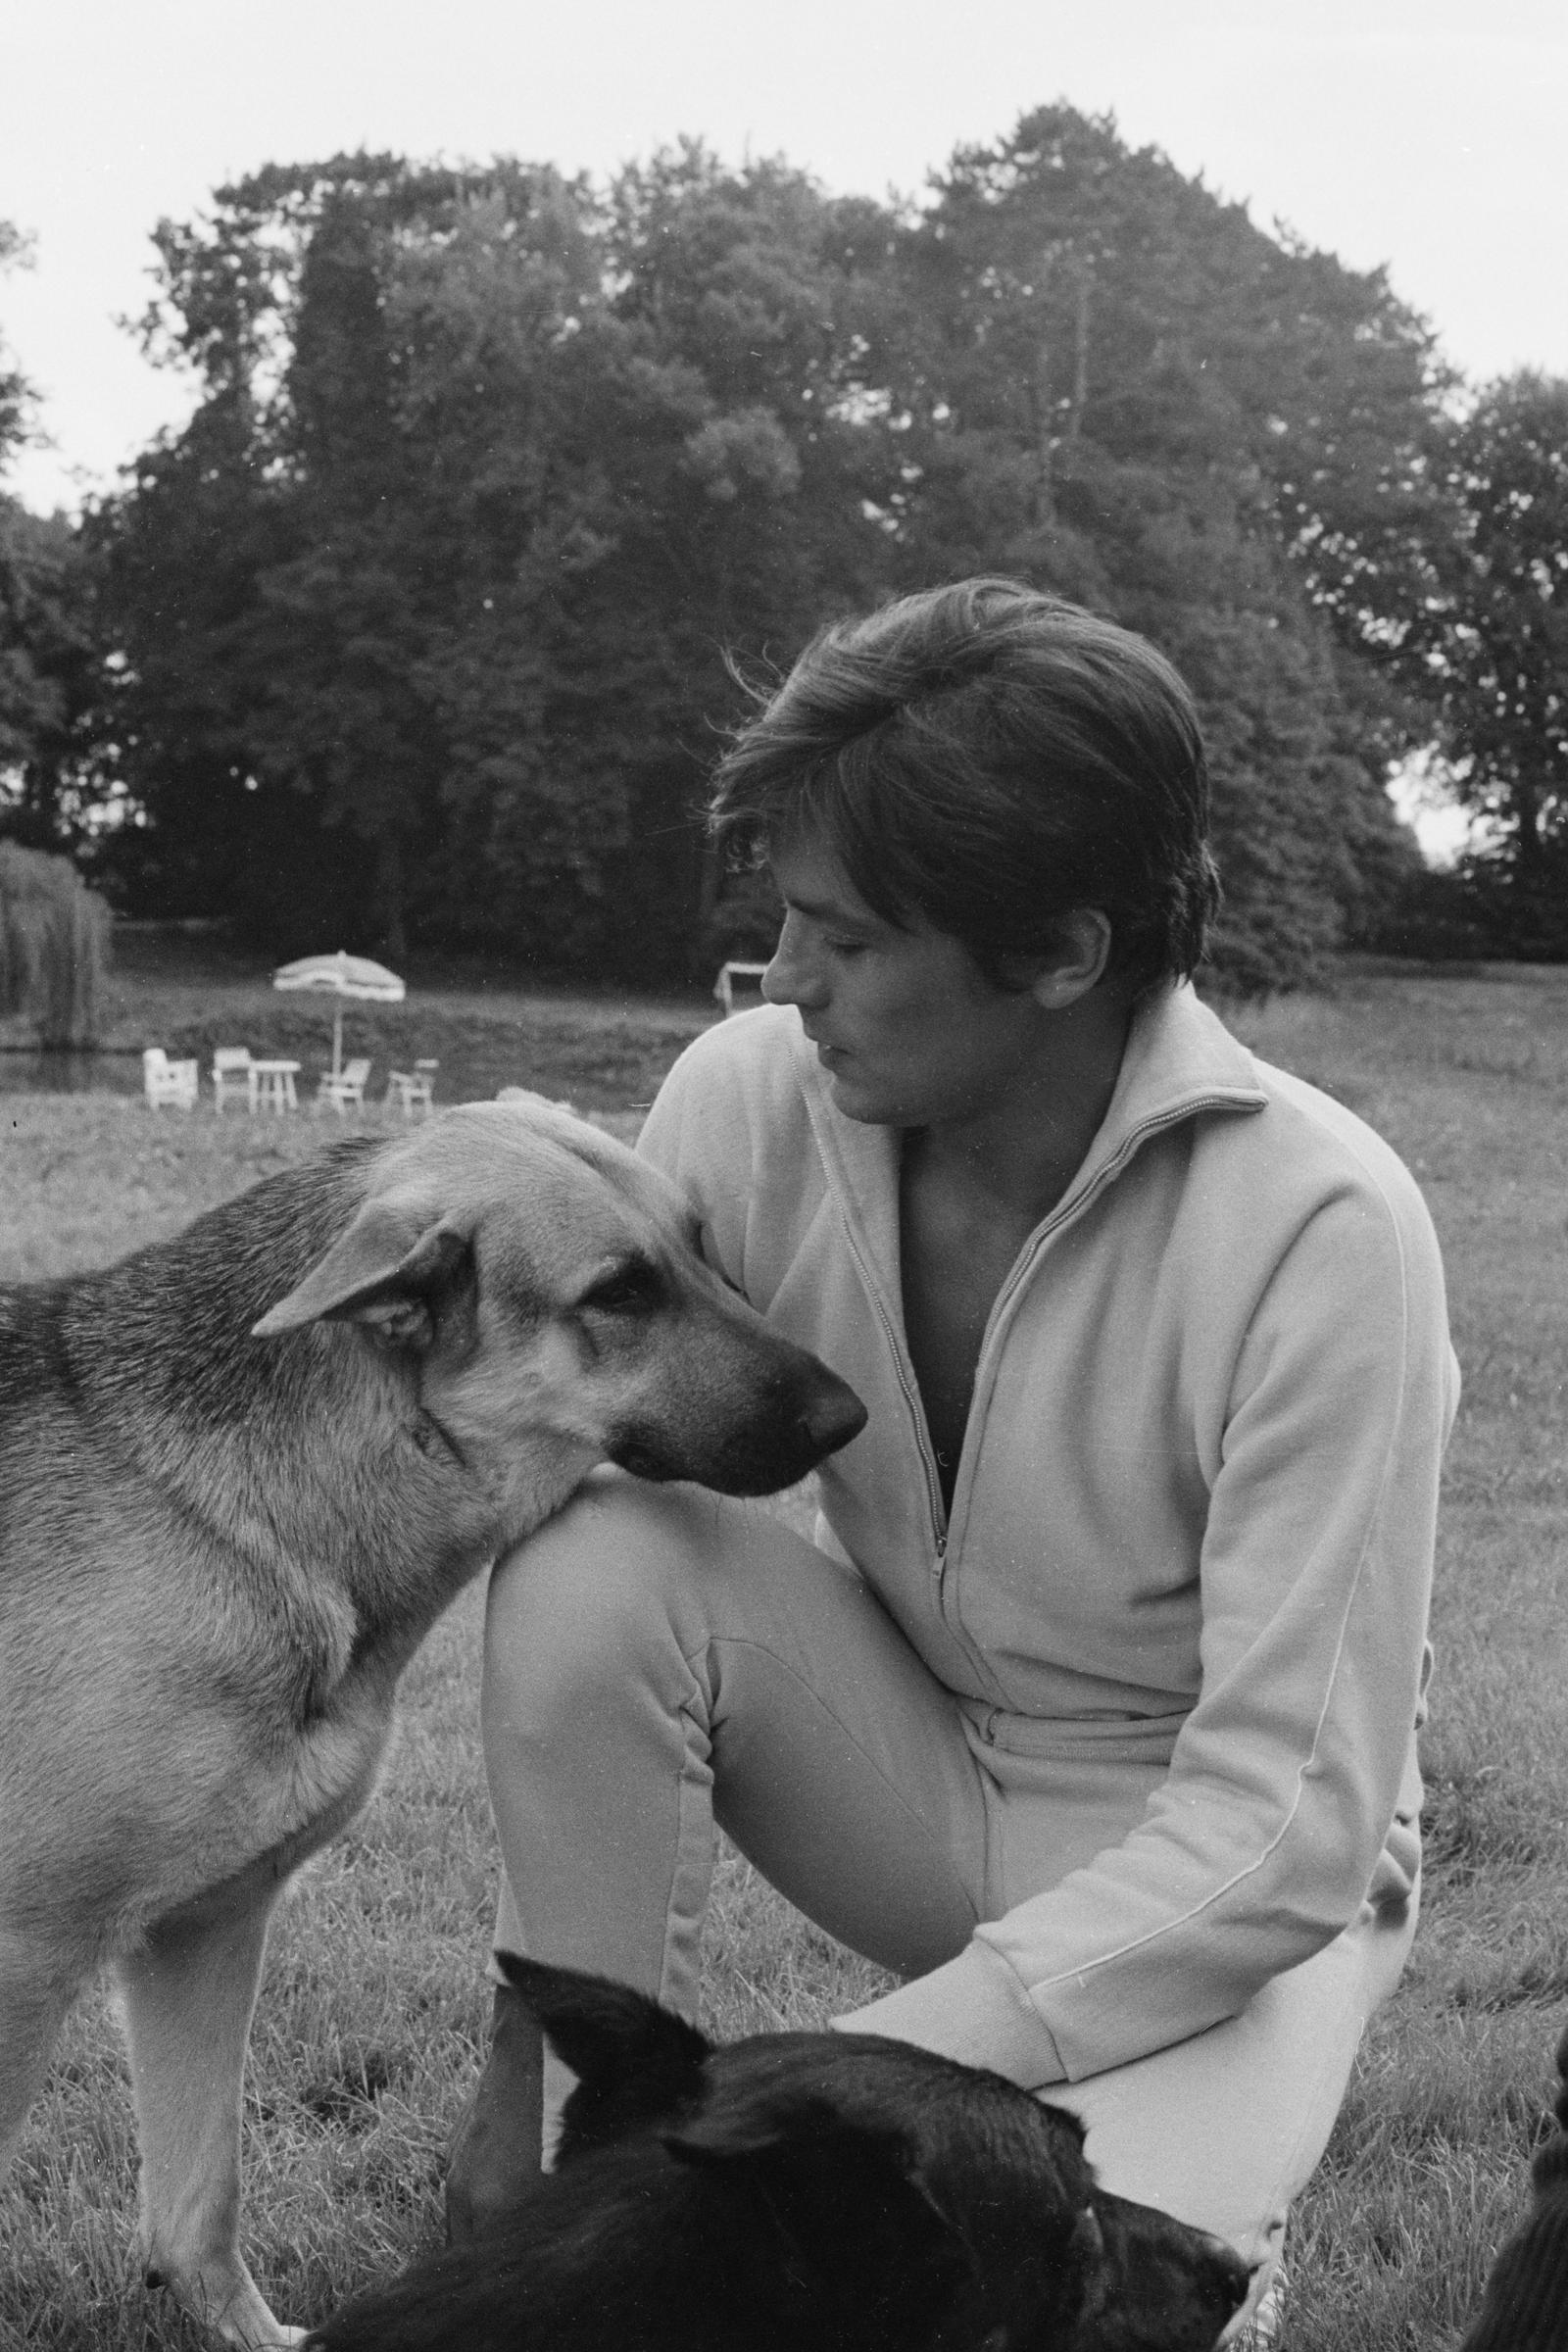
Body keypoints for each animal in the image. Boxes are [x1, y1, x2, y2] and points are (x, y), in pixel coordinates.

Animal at [0, 1101, 869, 2352]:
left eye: (703, 1245)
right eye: (620, 1293)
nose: (850, 1418)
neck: (219, 1514)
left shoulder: (204, 1931)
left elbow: (196, 2212)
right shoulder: (28, 1960)